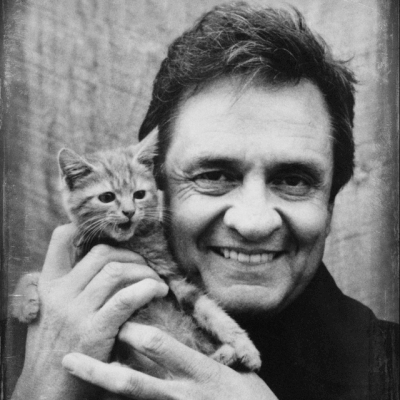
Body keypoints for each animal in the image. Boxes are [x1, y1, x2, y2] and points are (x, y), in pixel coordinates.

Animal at [11, 130, 261, 382]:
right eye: (107, 197)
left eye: (139, 194)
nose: (129, 212)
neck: (127, 243)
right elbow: (34, 276)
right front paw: (24, 304)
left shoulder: (169, 275)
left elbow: (210, 311)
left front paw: (245, 347)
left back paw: (226, 355)